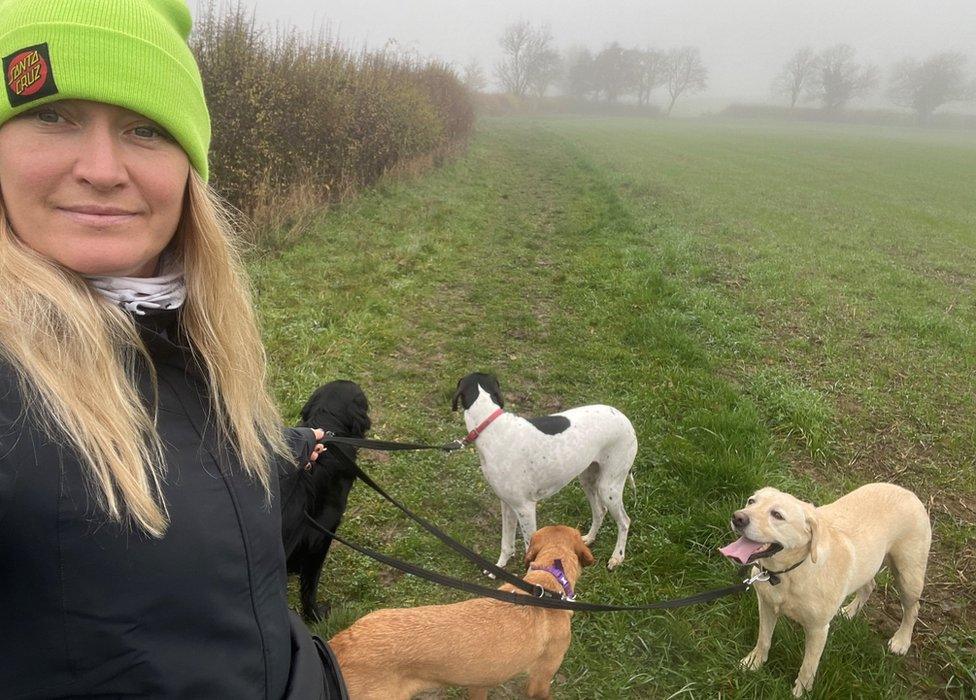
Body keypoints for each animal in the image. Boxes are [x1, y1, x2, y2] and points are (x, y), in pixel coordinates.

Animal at [452, 372, 640, 568]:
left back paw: (617, 557)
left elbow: (529, 549)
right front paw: (499, 567)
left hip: (608, 487)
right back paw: (589, 538)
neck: (490, 426)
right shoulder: (507, 504)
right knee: (600, 511)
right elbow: (506, 544)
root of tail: (625, 419)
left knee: (624, 521)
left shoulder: (525, 508)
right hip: (588, 480)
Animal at [720, 484, 936, 696]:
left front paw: (801, 692)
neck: (789, 573)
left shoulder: (818, 629)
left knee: (913, 609)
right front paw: (753, 662)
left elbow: (808, 666)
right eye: (751, 501)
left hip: (908, 577)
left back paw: (901, 640)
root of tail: (908, 492)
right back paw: (849, 612)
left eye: (777, 515)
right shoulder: (766, 605)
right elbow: (764, 639)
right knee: (869, 586)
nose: (738, 518)